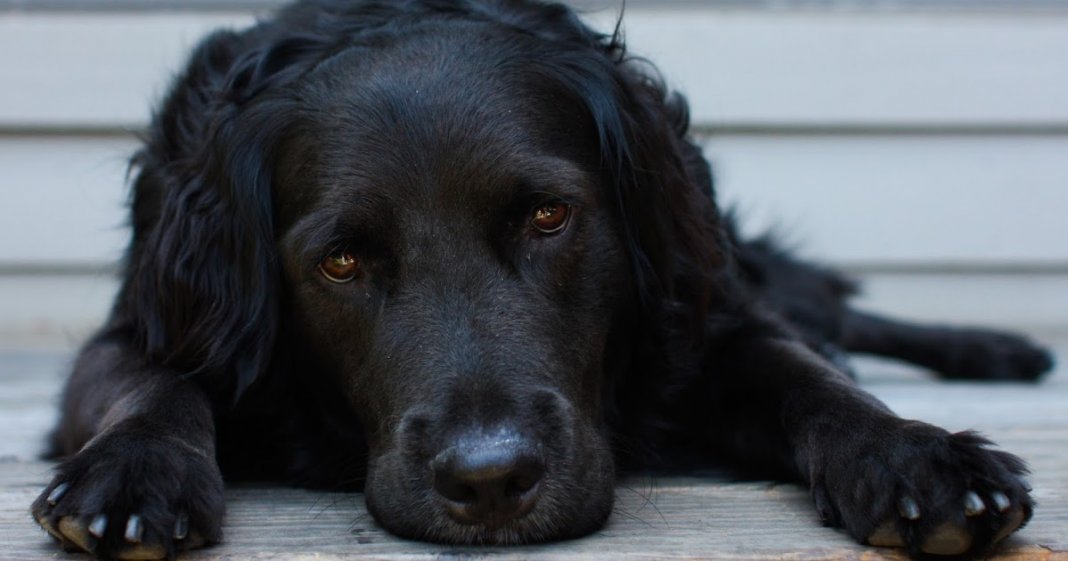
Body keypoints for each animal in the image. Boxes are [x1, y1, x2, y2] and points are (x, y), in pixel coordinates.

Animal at [31, 2, 1050, 555]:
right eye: (342, 260)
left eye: (548, 217)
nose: (491, 481)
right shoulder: (144, 324)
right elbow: (150, 386)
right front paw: (132, 473)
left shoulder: (704, 323)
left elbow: (809, 374)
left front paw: (915, 454)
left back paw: (997, 347)